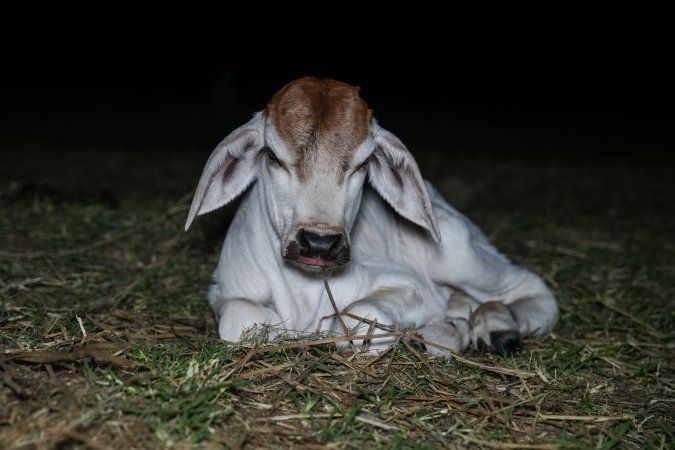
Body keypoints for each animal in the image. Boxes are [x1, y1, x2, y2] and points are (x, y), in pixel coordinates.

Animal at [186, 78, 560, 358]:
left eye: (363, 164)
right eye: (273, 156)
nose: (319, 243)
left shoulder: (413, 286)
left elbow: (358, 319)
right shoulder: (225, 291)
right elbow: (240, 319)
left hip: (459, 253)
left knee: (531, 288)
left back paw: (499, 330)